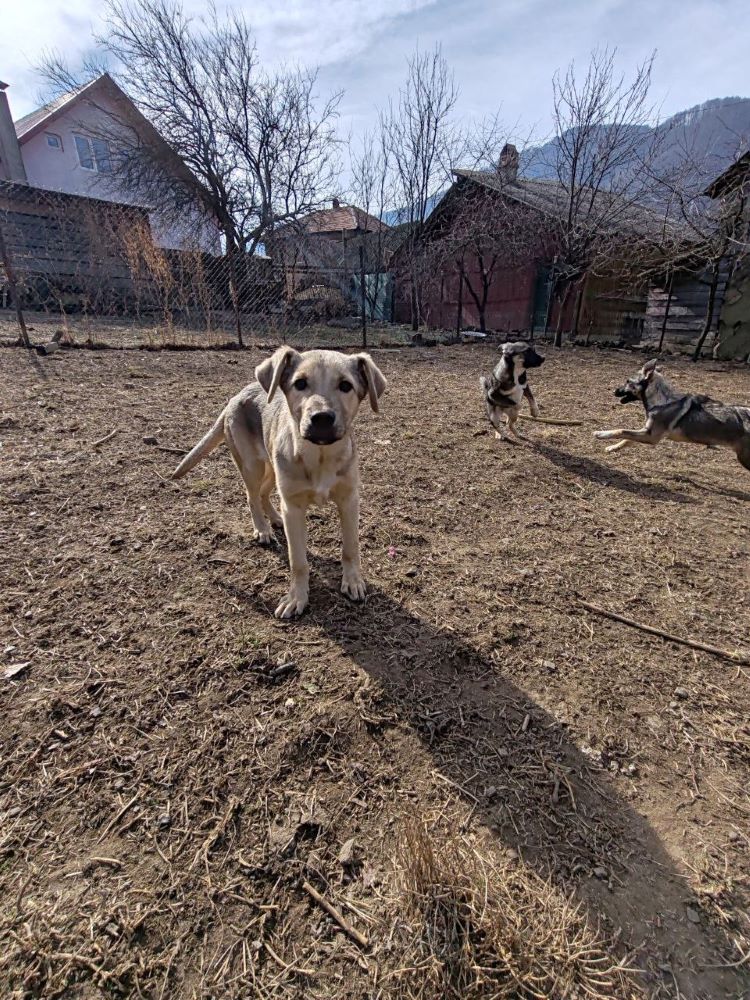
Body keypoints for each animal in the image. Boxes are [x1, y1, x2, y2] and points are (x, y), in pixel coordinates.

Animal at [172, 350, 388, 616]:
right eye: (300, 383)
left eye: (345, 386)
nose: (321, 418)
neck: (320, 456)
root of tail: (236, 396)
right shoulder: (294, 507)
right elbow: (298, 561)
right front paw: (297, 598)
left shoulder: (348, 500)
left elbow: (350, 548)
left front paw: (353, 582)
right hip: (252, 466)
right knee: (252, 496)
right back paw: (262, 529)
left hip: (273, 469)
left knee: (265, 493)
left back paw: (274, 518)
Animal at [592, 358, 750, 470]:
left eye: (628, 381)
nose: (614, 391)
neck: (662, 400)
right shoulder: (647, 431)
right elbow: (627, 439)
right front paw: (612, 448)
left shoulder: (651, 437)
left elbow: (622, 431)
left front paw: (601, 434)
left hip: (744, 458)